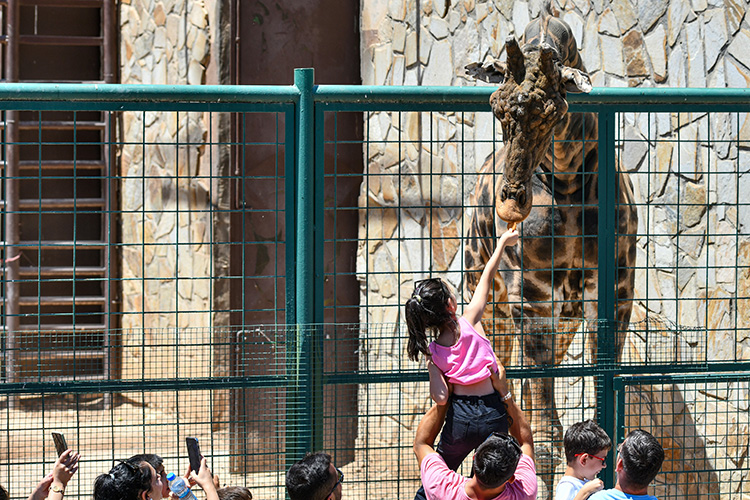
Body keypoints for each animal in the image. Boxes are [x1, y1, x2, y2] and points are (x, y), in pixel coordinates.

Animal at [468, 6, 636, 492]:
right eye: (495, 107)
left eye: (551, 110)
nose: (511, 202)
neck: (564, 174)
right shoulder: (532, 292)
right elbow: (542, 425)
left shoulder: (614, 288)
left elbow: (600, 392)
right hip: (488, 297)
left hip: (566, 315)